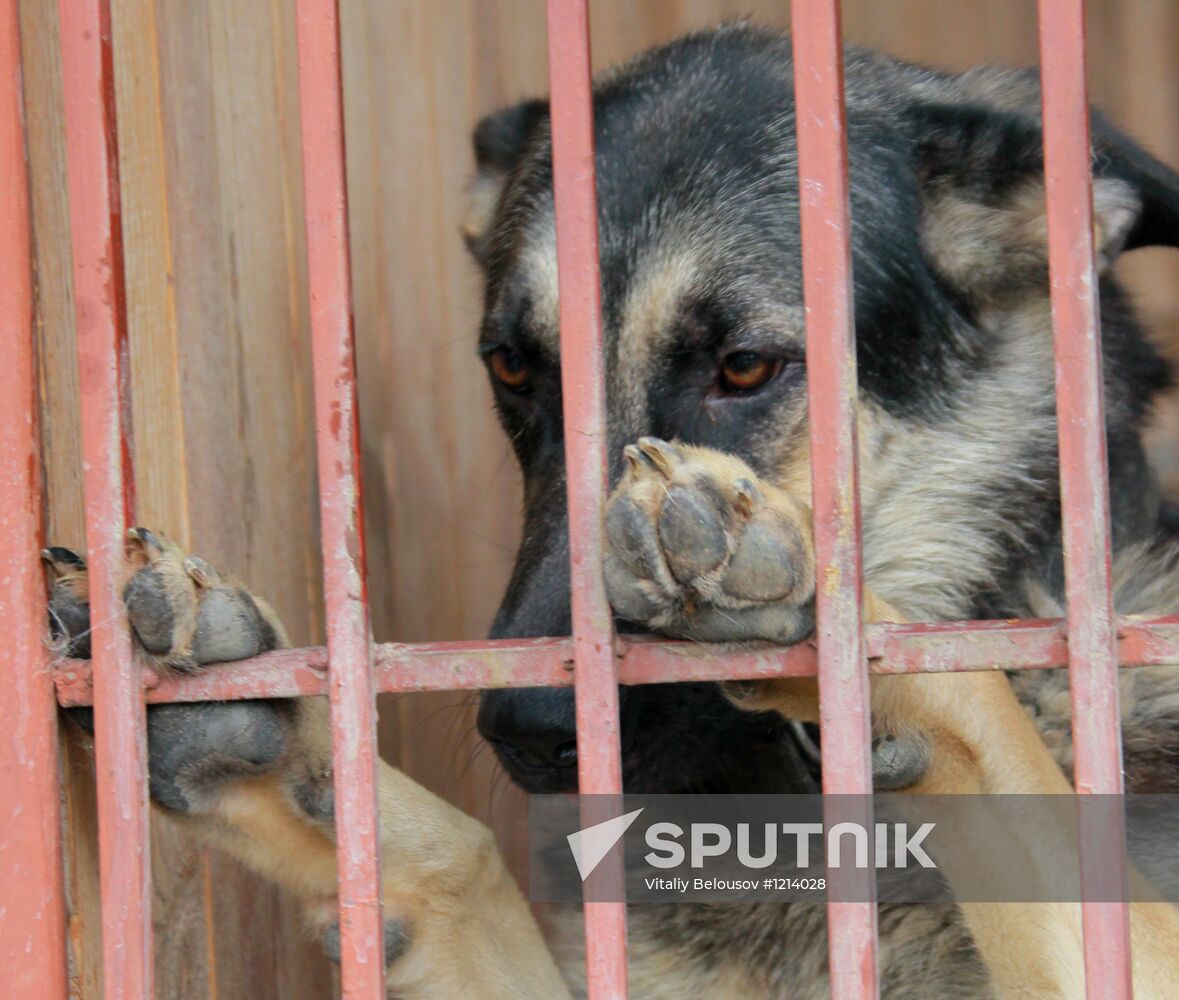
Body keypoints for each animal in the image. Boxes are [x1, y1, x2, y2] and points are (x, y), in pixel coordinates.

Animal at [48, 21, 1179, 999]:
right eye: (512, 366)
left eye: (745, 366)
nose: (529, 732)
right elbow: (460, 862)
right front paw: (276, 750)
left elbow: (978, 710)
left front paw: (793, 593)